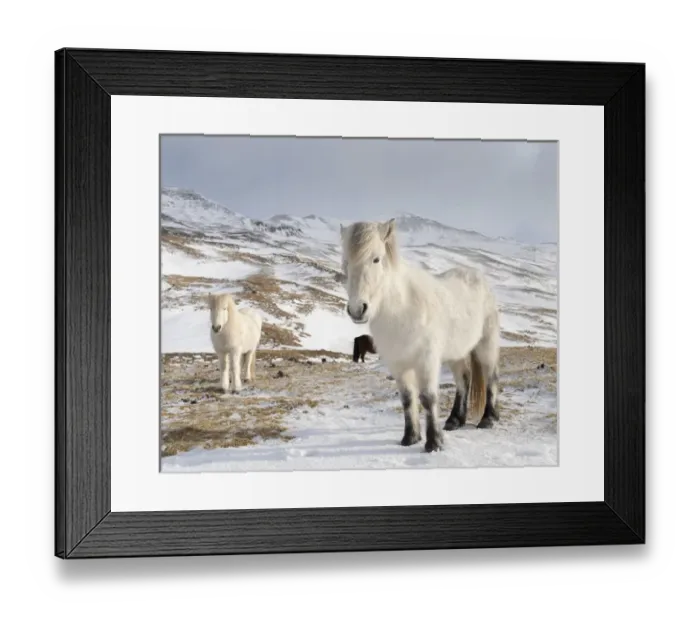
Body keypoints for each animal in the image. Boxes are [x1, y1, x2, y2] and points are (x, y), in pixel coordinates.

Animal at [339, 218, 500, 453]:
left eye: (376, 259)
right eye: (346, 262)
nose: (357, 309)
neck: (402, 309)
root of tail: (476, 275)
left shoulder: (427, 361)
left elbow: (428, 398)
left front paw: (434, 443)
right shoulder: (398, 364)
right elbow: (408, 399)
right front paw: (410, 437)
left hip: (486, 344)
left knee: (490, 376)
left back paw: (488, 419)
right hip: (456, 353)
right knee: (464, 380)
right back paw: (455, 420)